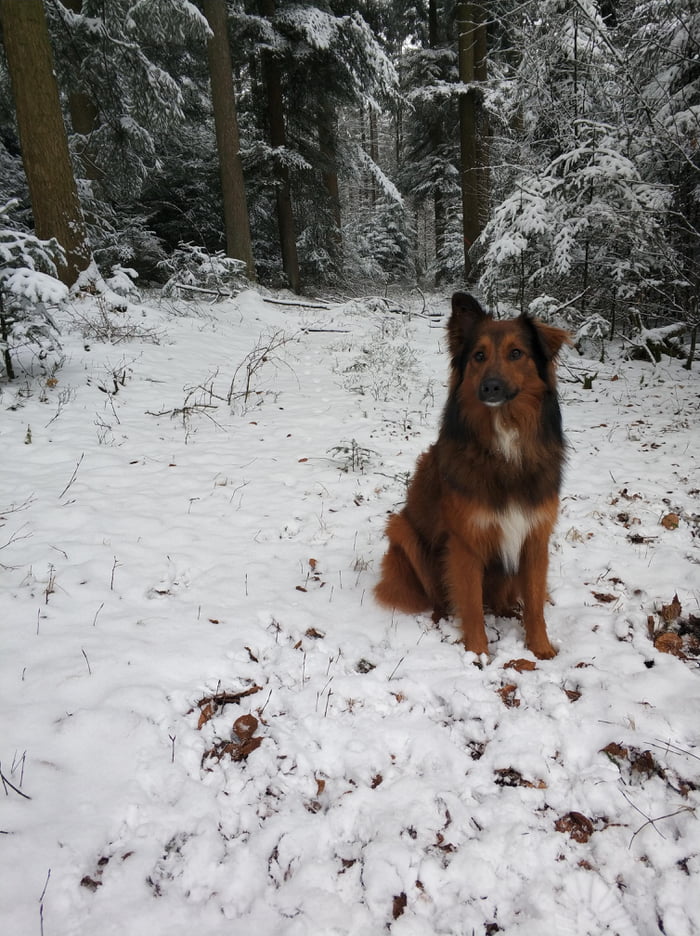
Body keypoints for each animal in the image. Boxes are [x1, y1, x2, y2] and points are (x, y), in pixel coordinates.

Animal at [374, 292, 572, 660]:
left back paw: (509, 611)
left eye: (516, 353)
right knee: (439, 597)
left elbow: (535, 603)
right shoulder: (465, 543)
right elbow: (471, 605)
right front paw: (478, 654)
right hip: (402, 530)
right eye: (479, 356)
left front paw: (540, 649)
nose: (490, 387)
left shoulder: (535, 538)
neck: (504, 443)